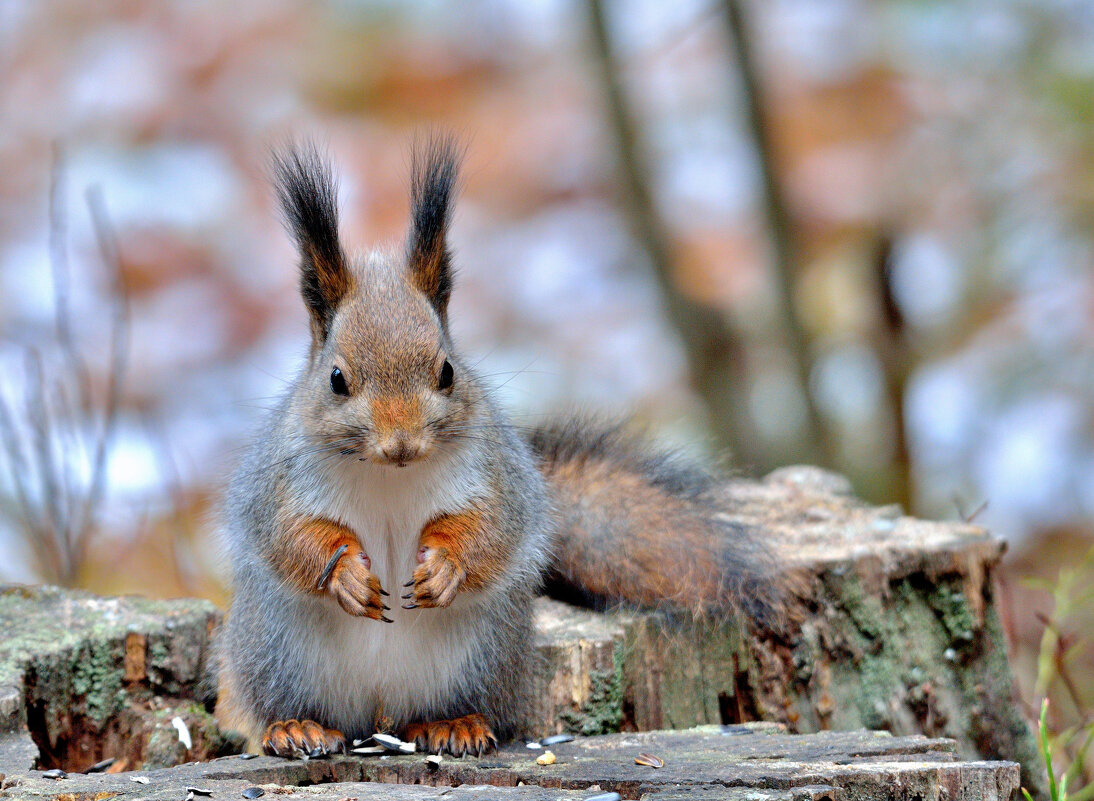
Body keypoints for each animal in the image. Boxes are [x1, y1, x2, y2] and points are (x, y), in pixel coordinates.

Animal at [208, 136, 783, 757]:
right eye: (336, 379)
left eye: (447, 372)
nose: (401, 443)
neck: (389, 475)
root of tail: (380, 716)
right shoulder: (277, 481)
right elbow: (290, 536)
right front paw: (345, 574)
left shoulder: (497, 474)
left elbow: (492, 527)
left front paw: (445, 566)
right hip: (274, 652)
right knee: (286, 704)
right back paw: (298, 727)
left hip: (482, 655)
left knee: (450, 706)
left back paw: (451, 723)